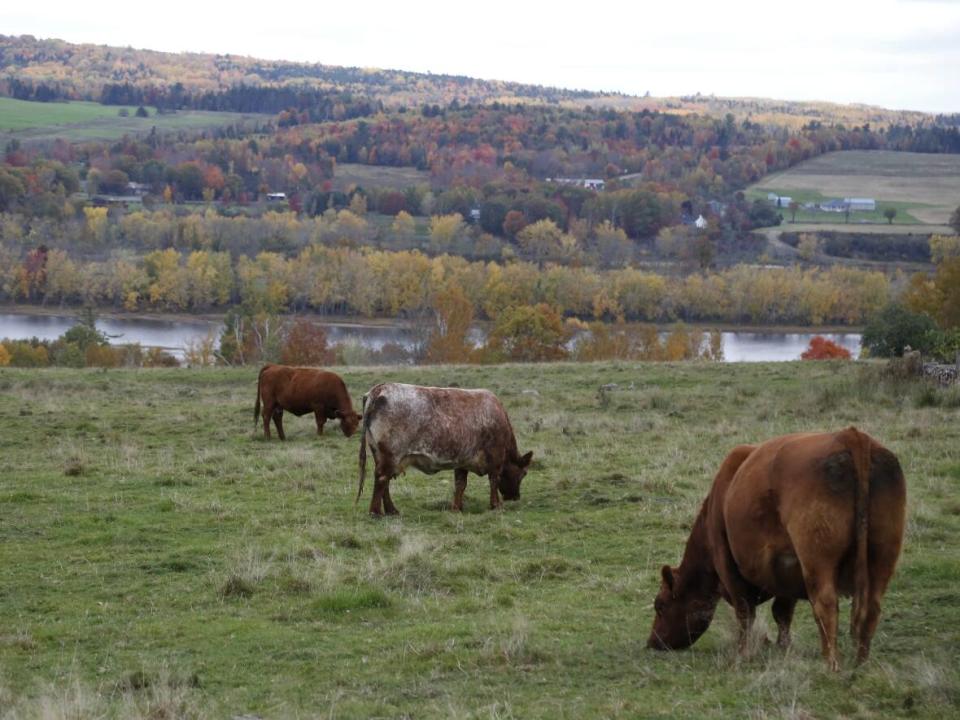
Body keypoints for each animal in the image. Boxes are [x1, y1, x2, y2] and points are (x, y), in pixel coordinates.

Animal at [356, 382, 532, 516]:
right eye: (523, 474)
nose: (515, 497)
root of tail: (379, 389)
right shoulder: (496, 458)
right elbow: (494, 480)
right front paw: (496, 505)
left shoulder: (462, 460)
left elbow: (460, 484)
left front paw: (457, 508)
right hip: (390, 455)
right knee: (381, 478)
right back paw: (376, 512)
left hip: (380, 454)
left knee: (384, 481)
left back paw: (391, 510)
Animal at [644, 428, 908, 668]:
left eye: (660, 605)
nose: (653, 642)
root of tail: (852, 436)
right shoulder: (787, 569)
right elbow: (782, 612)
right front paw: (783, 647)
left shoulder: (727, 562)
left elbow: (745, 612)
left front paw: (742, 653)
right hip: (882, 555)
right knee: (871, 607)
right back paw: (860, 665)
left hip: (816, 561)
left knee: (825, 605)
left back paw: (830, 665)